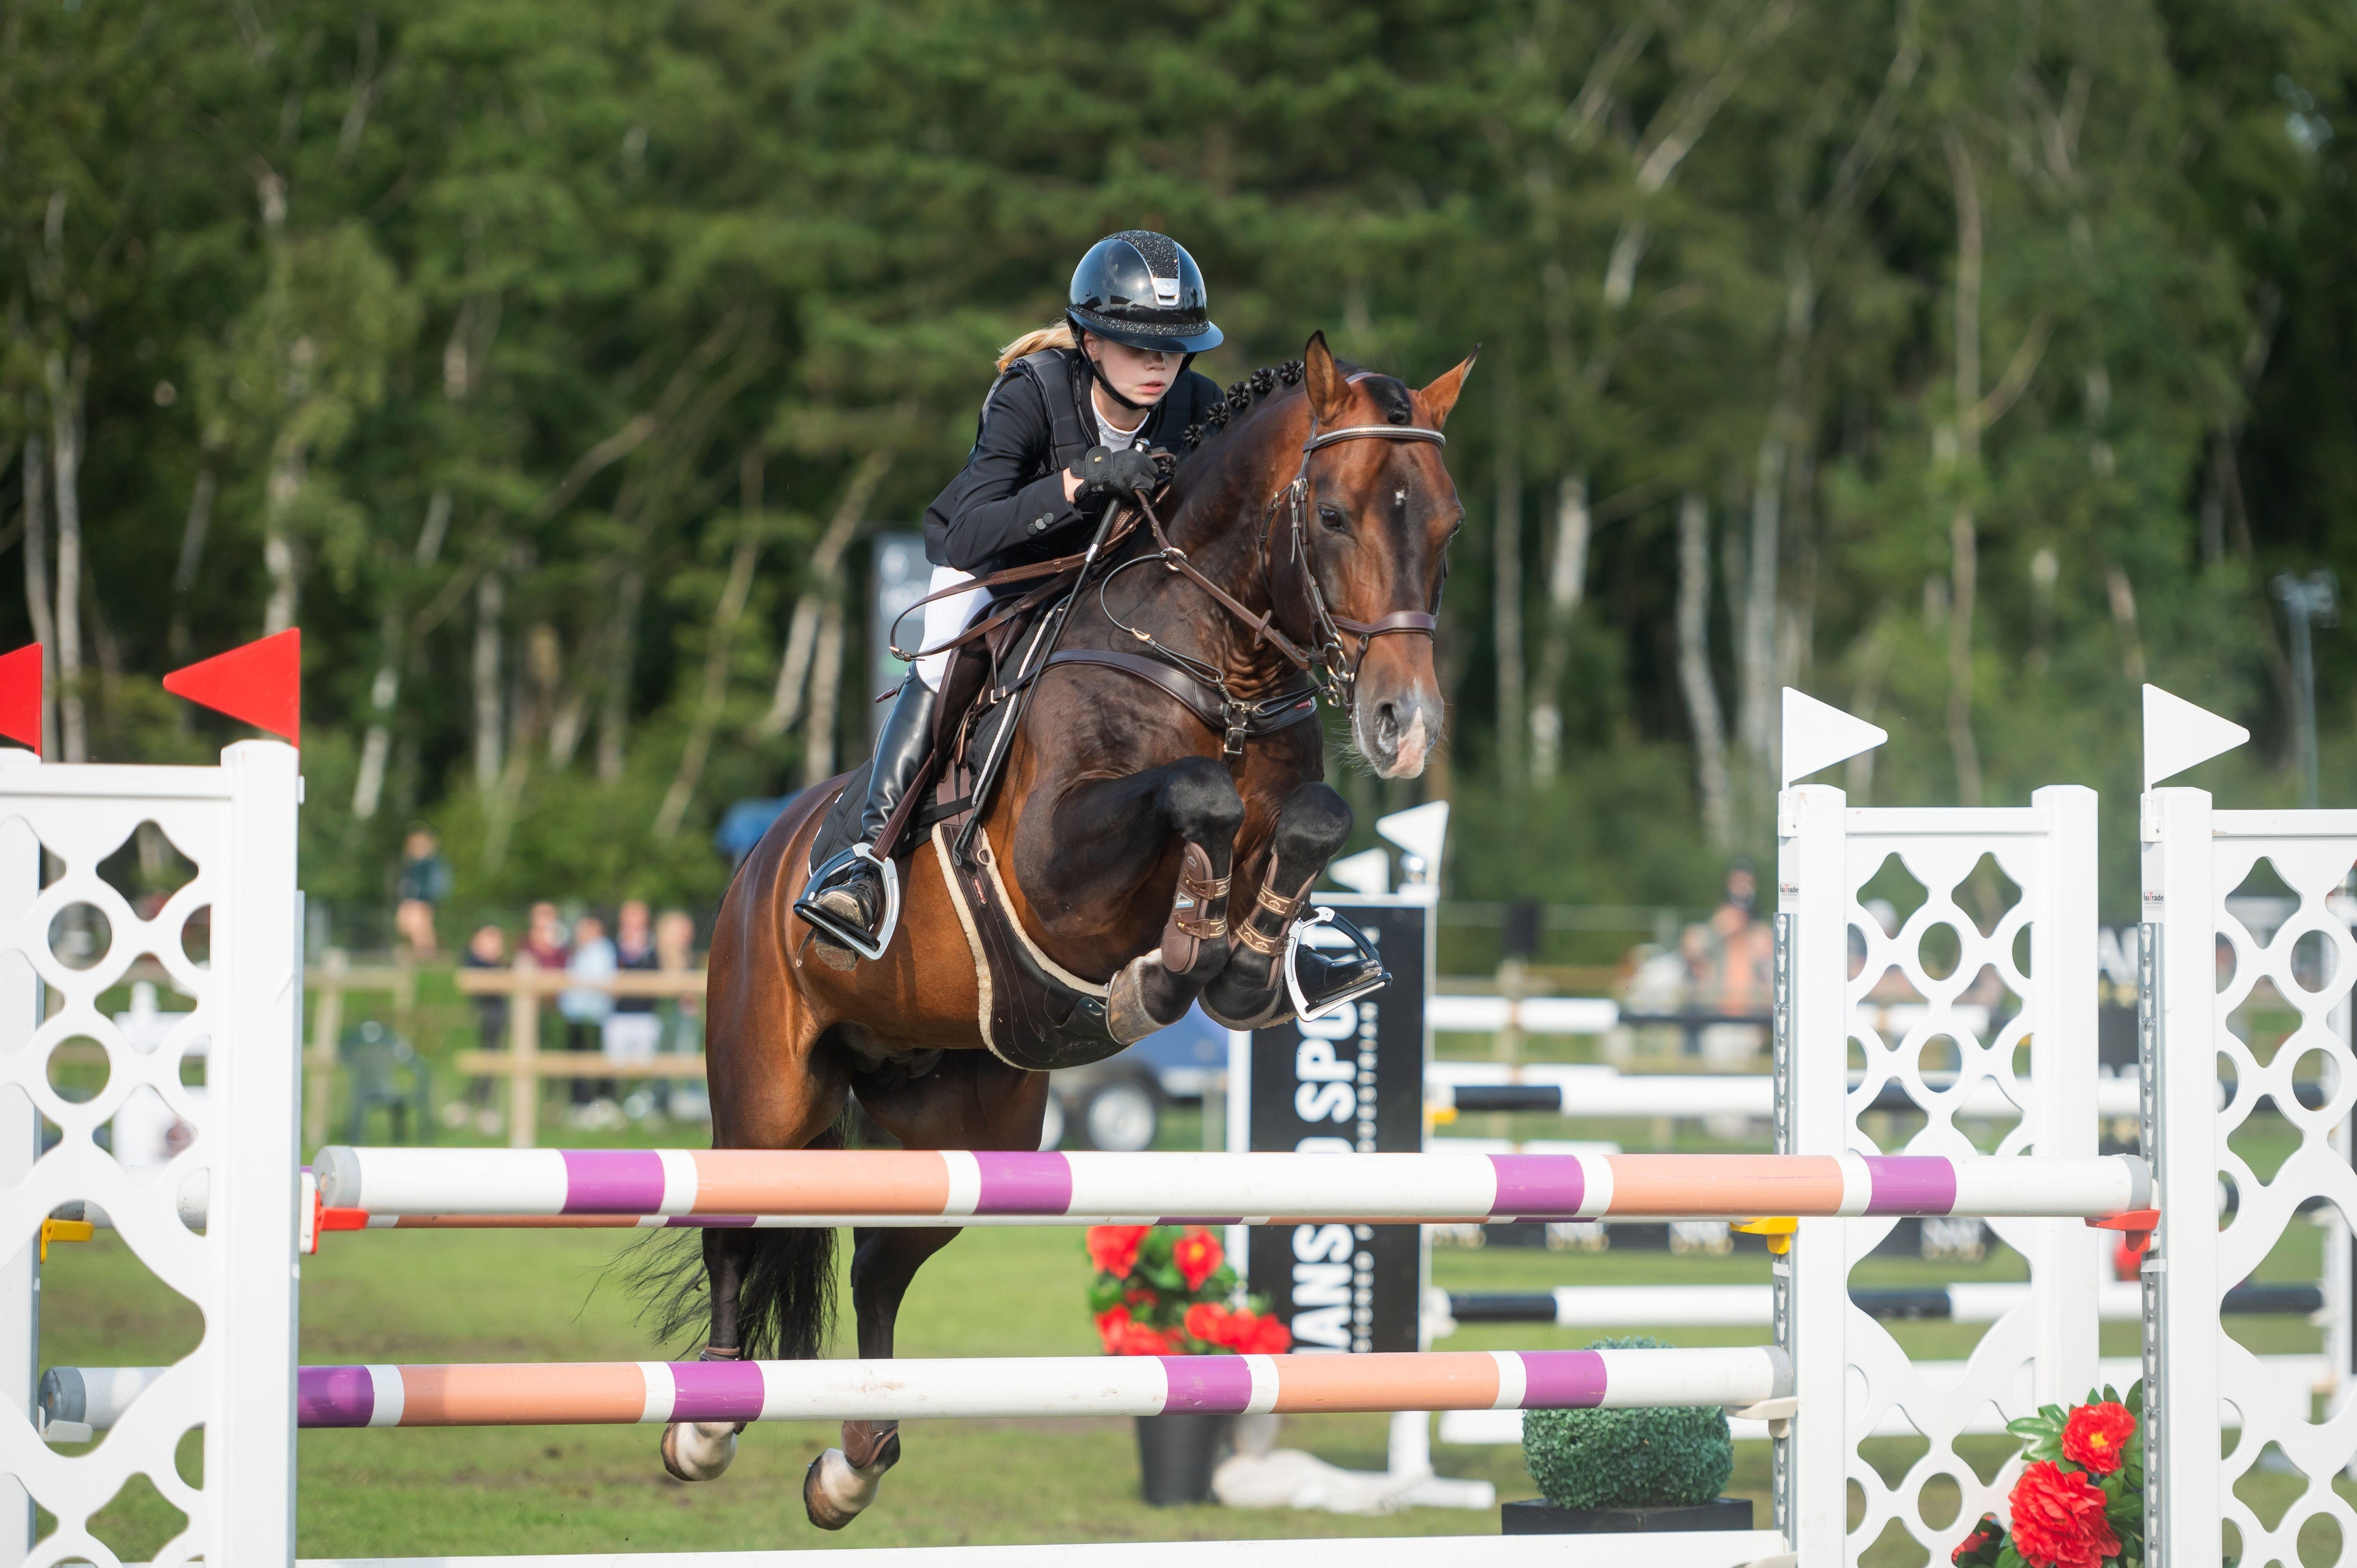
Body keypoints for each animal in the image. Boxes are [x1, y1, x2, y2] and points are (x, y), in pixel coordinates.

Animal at [655, 328, 1471, 1518]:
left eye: (1448, 523)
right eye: (1331, 515)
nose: (1403, 725)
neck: (1214, 668)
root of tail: (763, 857)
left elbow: (1309, 819)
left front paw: (1249, 965)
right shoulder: (1054, 863)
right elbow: (1195, 798)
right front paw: (1165, 968)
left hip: (966, 1119)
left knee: (879, 1262)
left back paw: (855, 1457)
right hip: (768, 1092)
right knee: (736, 1226)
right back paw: (706, 1422)